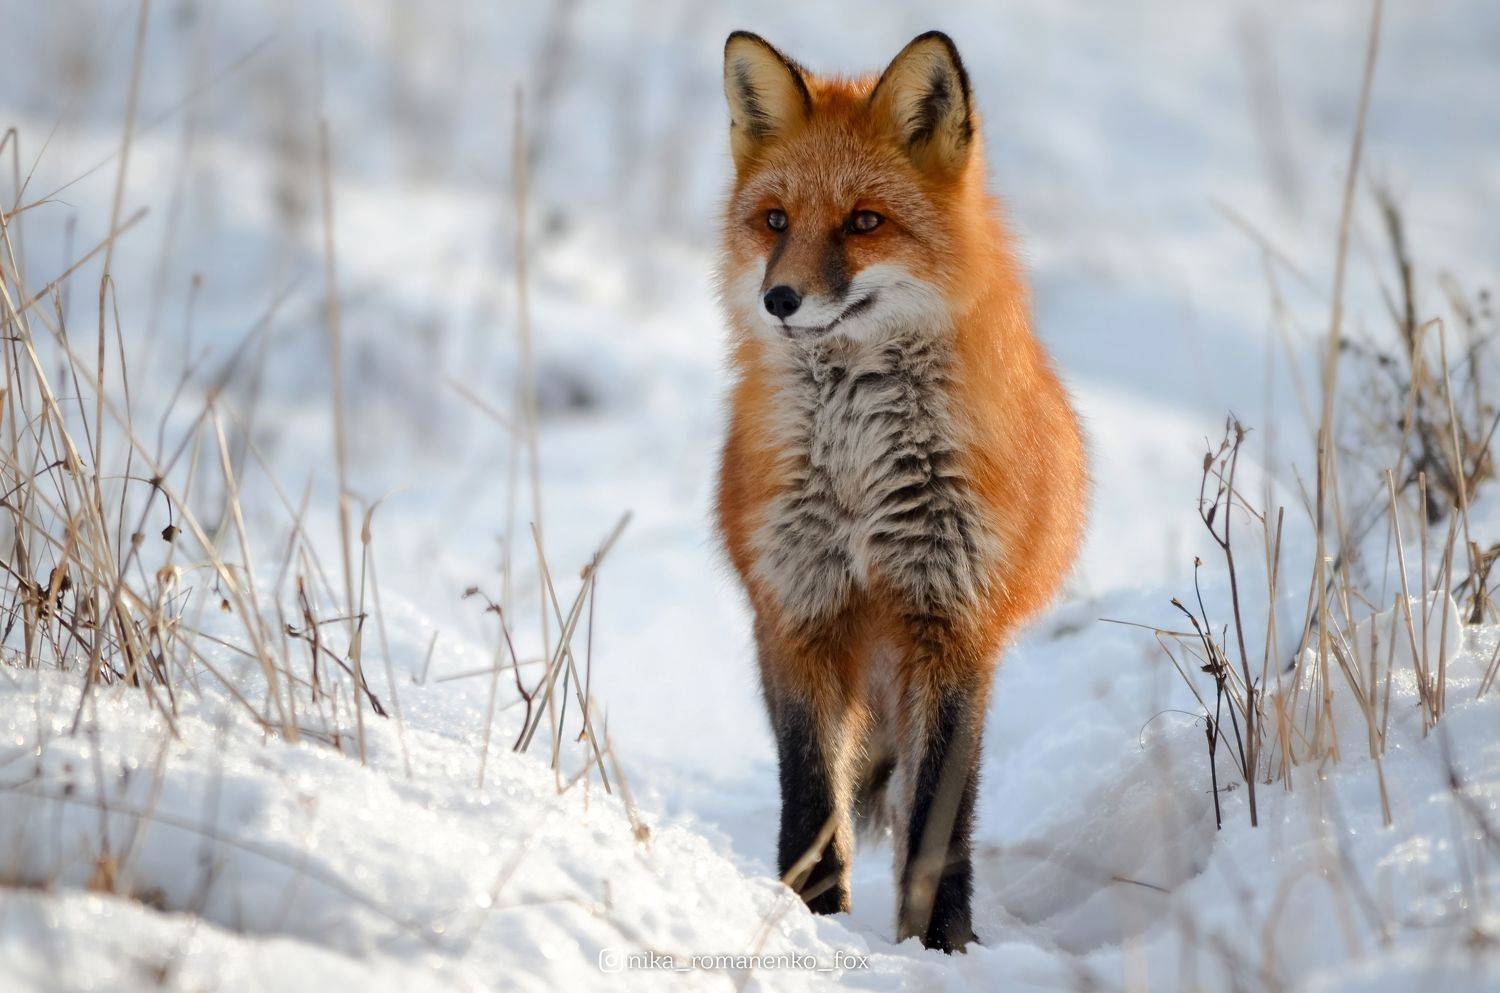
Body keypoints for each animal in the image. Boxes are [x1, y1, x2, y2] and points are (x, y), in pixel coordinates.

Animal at [713, 30, 1088, 952]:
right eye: (776, 220)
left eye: (864, 221)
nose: (779, 299)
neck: (860, 479)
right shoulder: (799, 612)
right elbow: (811, 795)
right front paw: (809, 915)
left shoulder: (952, 622)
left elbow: (938, 818)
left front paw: (939, 942)